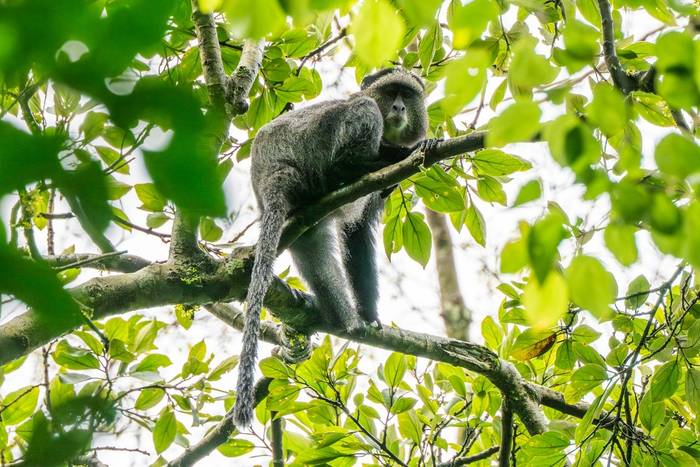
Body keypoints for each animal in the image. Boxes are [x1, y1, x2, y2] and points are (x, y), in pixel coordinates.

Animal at [233, 68, 432, 427]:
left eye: (407, 96)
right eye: (391, 93)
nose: (398, 108)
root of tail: (271, 179)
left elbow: (358, 233)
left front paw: (369, 315)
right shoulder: (360, 112)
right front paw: (412, 151)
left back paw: (342, 318)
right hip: (309, 155)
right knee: (343, 161)